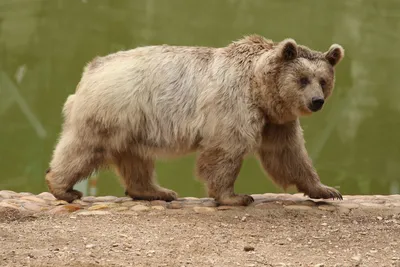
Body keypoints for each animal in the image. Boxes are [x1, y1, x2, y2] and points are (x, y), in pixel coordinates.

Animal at [44, 34, 344, 206]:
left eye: (323, 80)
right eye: (302, 79)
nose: (317, 101)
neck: (260, 89)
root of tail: (92, 67)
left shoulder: (275, 121)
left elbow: (289, 155)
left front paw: (327, 189)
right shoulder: (233, 106)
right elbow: (226, 151)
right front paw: (235, 196)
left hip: (133, 124)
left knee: (135, 160)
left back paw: (157, 191)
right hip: (115, 110)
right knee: (84, 148)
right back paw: (63, 188)